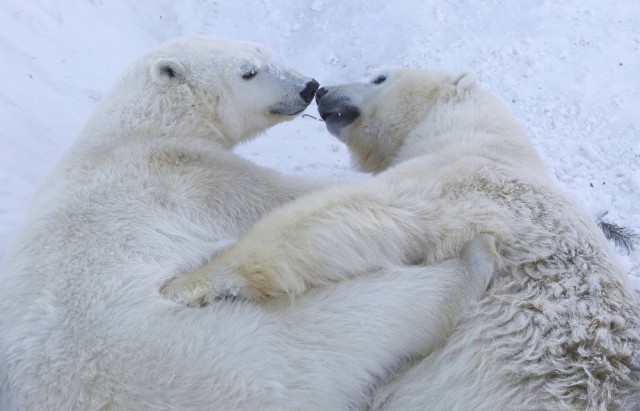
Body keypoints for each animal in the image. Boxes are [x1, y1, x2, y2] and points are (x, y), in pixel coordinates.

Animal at [0, 36, 500, 411]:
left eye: (263, 51)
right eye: (248, 71)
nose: (309, 85)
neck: (137, 128)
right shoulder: (190, 175)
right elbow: (280, 199)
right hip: (211, 356)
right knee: (349, 321)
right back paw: (470, 263)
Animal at [165, 67, 640, 408]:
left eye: (380, 76)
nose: (323, 90)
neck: (486, 136)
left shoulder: (470, 181)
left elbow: (357, 214)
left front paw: (190, 283)